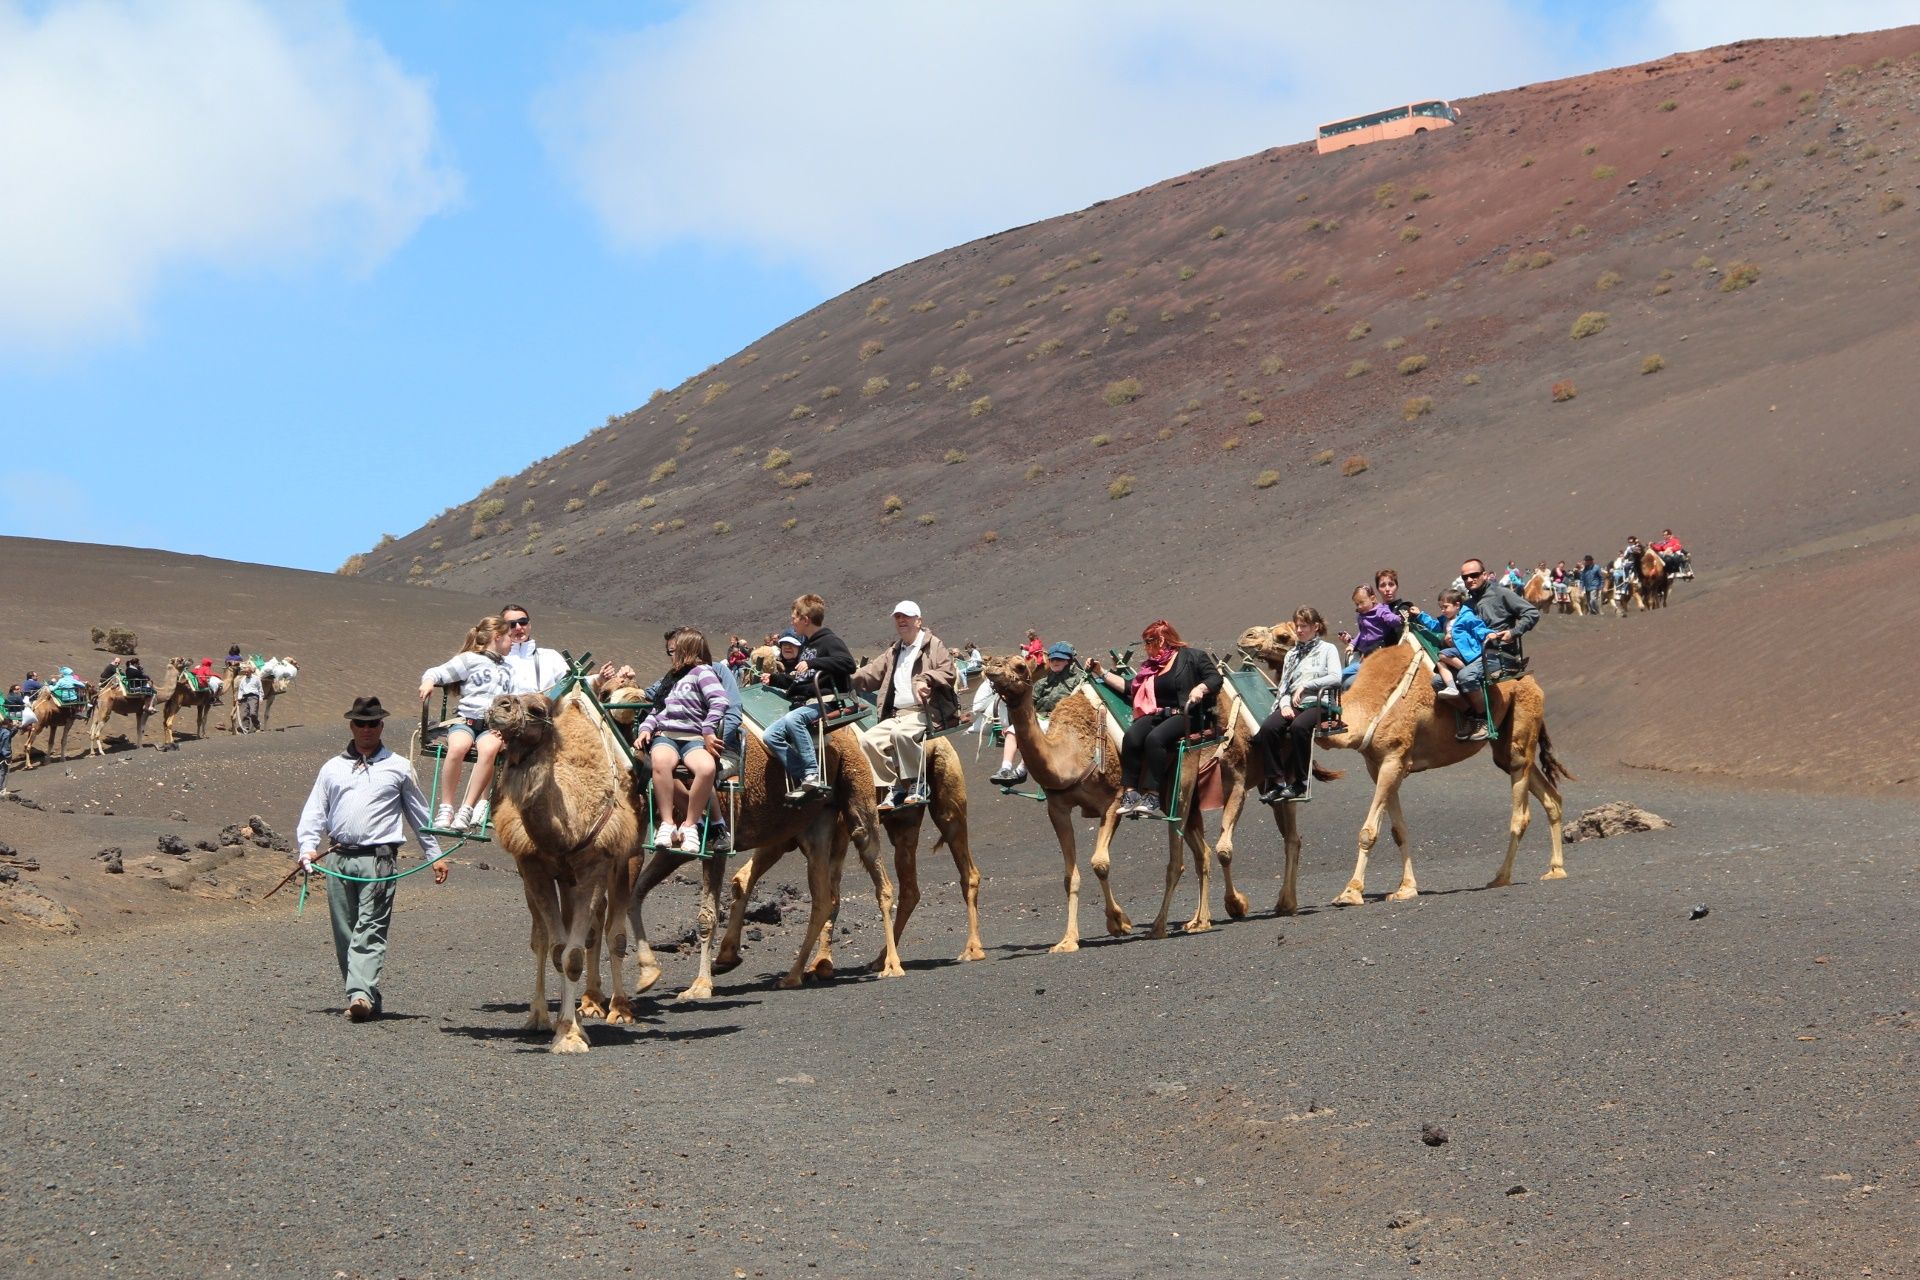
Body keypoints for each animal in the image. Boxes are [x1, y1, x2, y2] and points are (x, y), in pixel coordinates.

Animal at [480, 690, 675, 1051]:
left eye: (537, 708)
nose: (500, 705)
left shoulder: (597, 865)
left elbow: (579, 952)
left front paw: (572, 1034)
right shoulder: (533, 868)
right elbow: (557, 949)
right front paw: (564, 1026)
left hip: (626, 858)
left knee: (608, 931)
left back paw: (615, 1006)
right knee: (556, 935)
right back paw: (558, 1012)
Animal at [990, 660, 1259, 951]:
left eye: (1019, 666)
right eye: (996, 660)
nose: (990, 668)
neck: (1071, 753)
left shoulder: (1113, 801)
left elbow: (1100, 863)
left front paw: (1119, 922)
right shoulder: (1058, 808)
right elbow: (1070, 876)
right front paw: (1067, 940)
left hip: (1184, 780)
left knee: (1180, 859)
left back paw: (1165, 925)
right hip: (1173, 794)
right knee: (1202, 851)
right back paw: (1200, 920)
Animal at [1267, 625, 1566, 905]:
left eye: (1283, 636)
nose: (1250, 642)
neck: (1366, 709)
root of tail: (1531, 680)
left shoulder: (1394, 757)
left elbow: (1368, 832)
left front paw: (1350, 892)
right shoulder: (1380, 766)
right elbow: (1398, 830)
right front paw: (1406, 889)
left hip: (1521, 728)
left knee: (1521, 809)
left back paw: (1501, 877)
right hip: (1505, 746)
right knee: (1551, 797)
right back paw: (1556, 869)